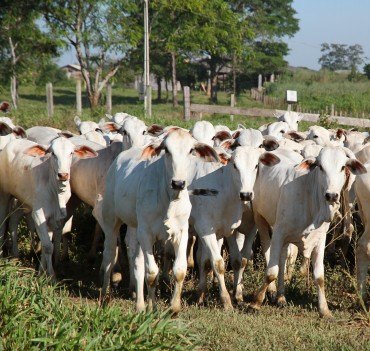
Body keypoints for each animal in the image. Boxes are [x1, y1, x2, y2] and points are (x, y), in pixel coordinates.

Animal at [0, 138, 97, 278]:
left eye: (71, 153)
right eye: (53, 153)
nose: (63, 175)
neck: (55, 191)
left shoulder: (53, 218)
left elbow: (49, 243)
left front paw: (42, 271)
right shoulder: (38, 214)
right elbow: (47, 246)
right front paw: (51, 276)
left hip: (22, 201)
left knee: (13, 221)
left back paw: (15, 254)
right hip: (5, 194)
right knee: (3, 223)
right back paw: (2, 252)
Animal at [93, 129, 220, 314]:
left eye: (191, 150)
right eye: (166, 150)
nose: (178, 183)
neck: (169, 199)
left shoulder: (181, 232)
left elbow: (179, 270)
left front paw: (173, 307)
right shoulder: (147, 233)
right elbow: (152, 273)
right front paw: (152, 307)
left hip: (135, 228)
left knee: (137, 262)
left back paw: (139, 305)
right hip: (112, 220)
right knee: (109, 256)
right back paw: (105, 296)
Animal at [250, 147, 366, 318]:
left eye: (342, 167)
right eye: (321, 167)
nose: (331, 195)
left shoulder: (320, 239)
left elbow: (319, 276)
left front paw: (325, 310)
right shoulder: (278, 233)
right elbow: (271, 272)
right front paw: (256, 302)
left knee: (283, 259)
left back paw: (281, 297)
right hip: (260, 219)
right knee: (268, 251)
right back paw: (272, 293)